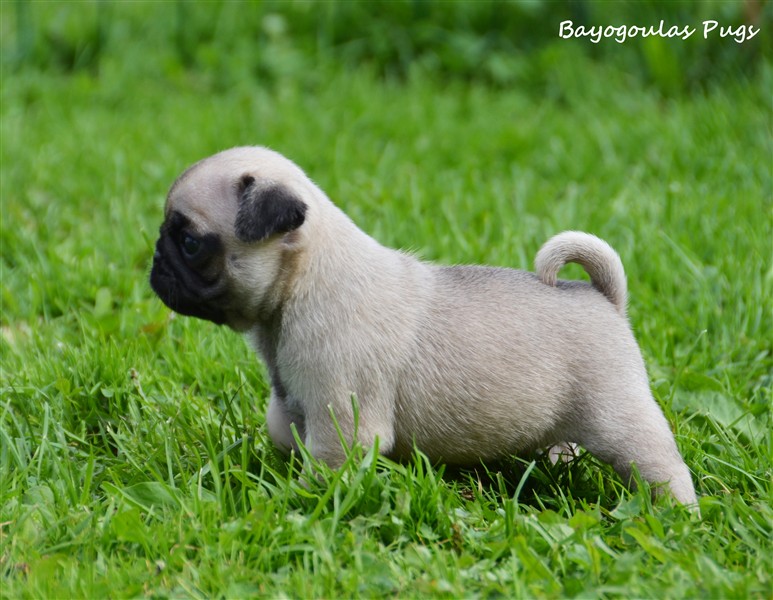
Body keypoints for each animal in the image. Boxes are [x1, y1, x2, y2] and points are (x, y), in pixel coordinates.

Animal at [150, 146, 698, 507]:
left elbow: (326, 468)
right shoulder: (293, 400)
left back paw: (675, 512)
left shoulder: (343, 420)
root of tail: (603, 297)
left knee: (659, 462)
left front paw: (296, 502)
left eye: (191, 242)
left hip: (618, 416)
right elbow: (284, 432)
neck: (303, 282)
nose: (155, 260)